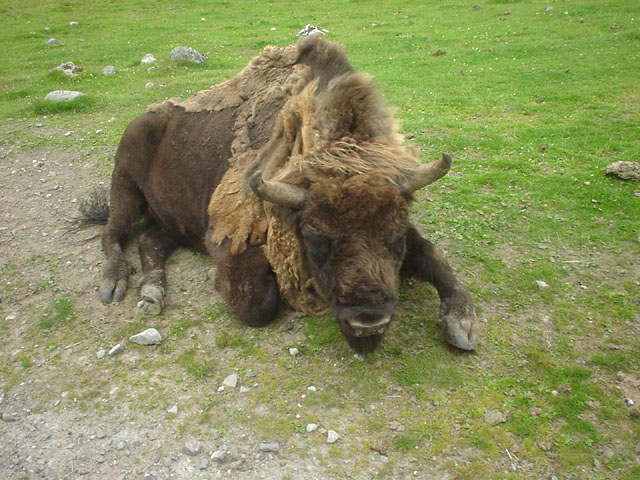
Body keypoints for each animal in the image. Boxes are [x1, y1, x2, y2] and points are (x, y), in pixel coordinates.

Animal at [94, 35, 476, 352]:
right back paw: (114, 285)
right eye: (316, 237)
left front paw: (463, 324)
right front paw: (215, 278)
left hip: (172, 221)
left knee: (151, 240)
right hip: (124, 185)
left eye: (395, 237)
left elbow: (433, 256)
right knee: (112, 234)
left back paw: (152, 292)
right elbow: (258, 303)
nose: (368, 324)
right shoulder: (227, 236)